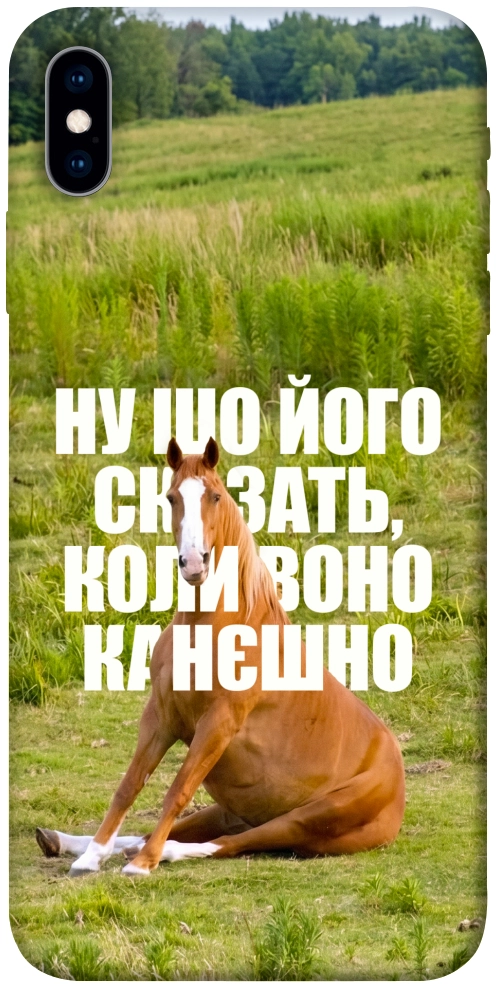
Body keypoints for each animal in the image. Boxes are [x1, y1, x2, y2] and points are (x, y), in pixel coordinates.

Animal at [36, 437, 405, 876]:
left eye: (214, 496)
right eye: (171, 497)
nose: (194, 564)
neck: (213, 628)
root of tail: (397, 785)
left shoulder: (218, 724)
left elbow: (177, 790)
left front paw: (142, 864)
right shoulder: (161, 715)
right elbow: (130, 785)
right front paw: (91, 855)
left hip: (304, 820)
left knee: (233, 843)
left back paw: (157, 853)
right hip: (231, 809)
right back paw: (66, 841)